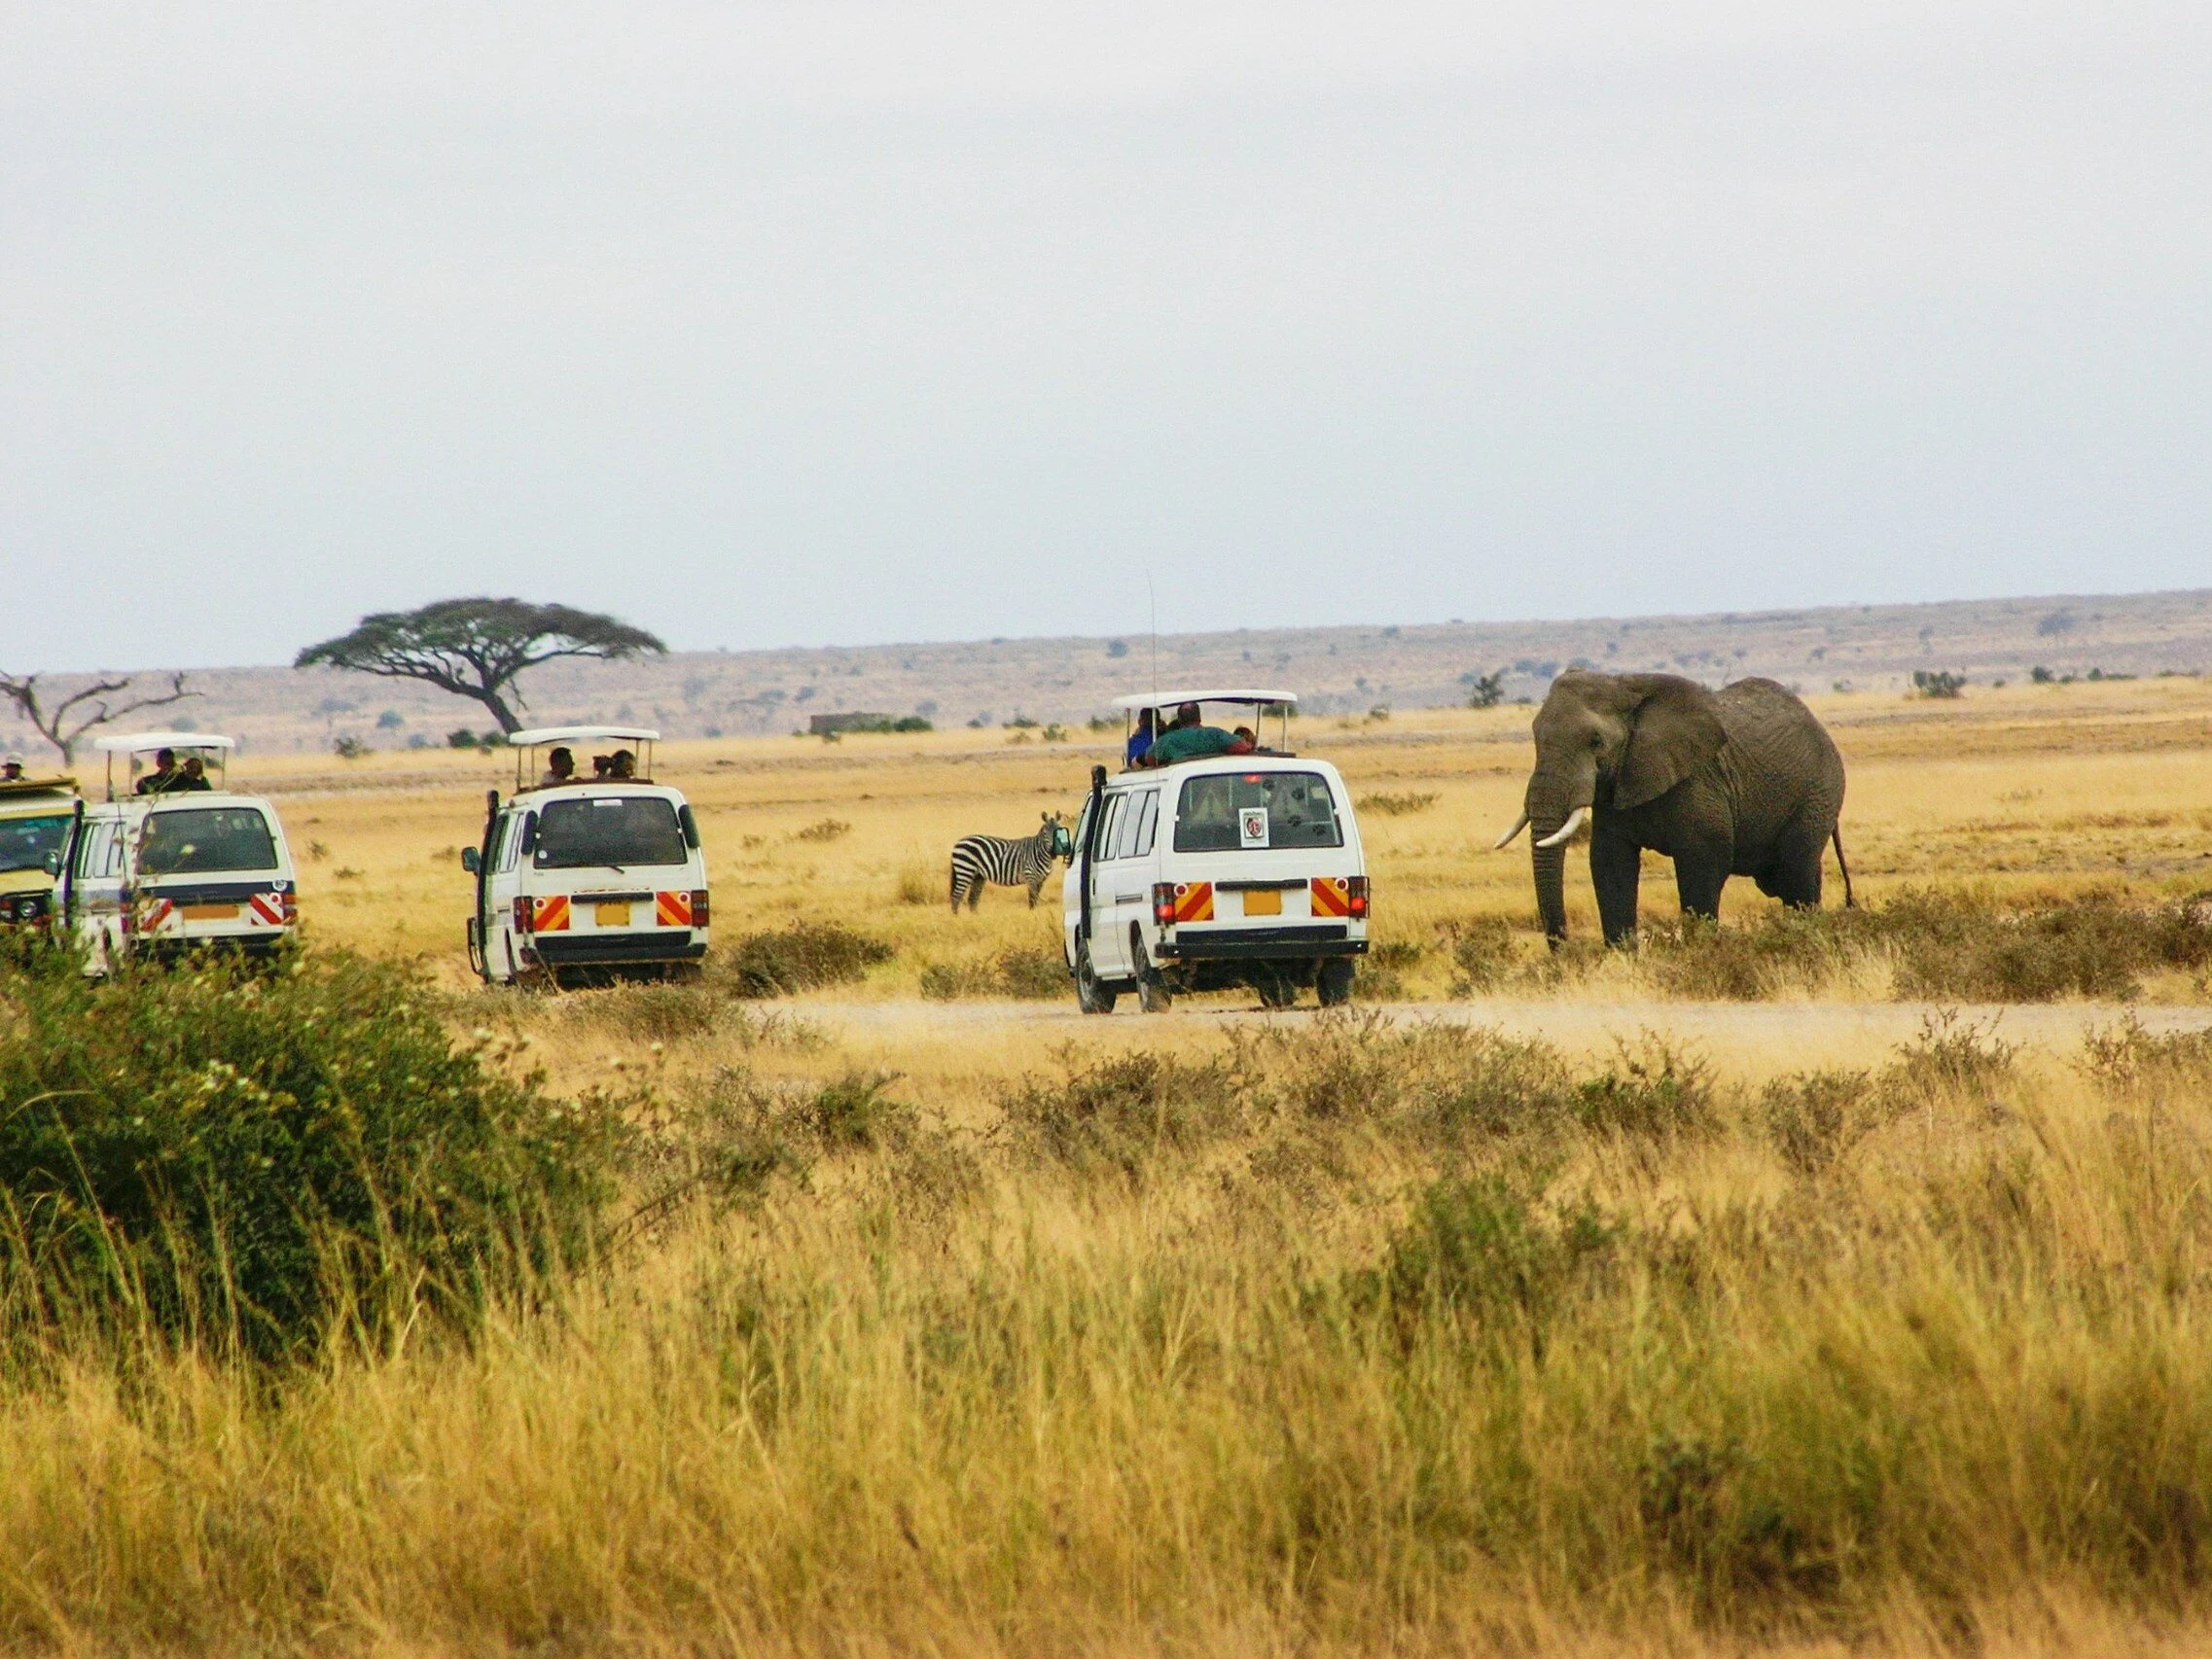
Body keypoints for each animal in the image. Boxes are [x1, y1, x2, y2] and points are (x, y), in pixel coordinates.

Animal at [1504, 672, 1849, 946]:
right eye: (1535, 737)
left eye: (1596, 742)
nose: (1563, 950)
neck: (1624, 686)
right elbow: (1609, 864)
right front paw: (1623, 960)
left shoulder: (1699, 781)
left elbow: (1703, 864)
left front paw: (1698, 952)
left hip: (1818, 794)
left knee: (1797, 876)